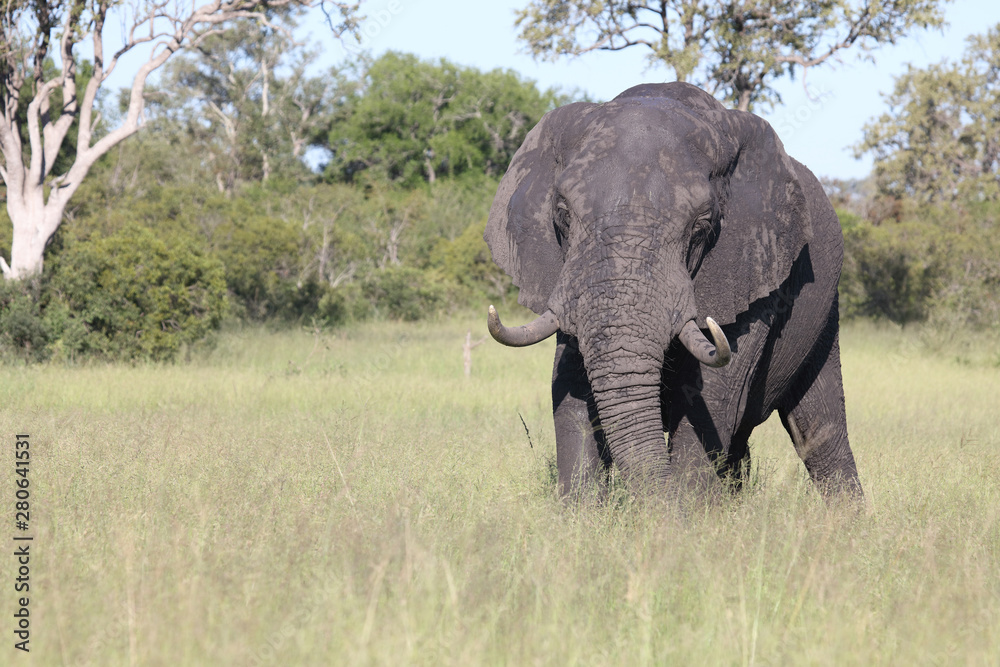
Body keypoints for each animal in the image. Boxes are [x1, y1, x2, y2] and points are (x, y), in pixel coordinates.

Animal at [482, 82, 860, 500]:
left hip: (823, 312)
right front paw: (581, 511)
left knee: (821, 430)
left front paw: (683, 514)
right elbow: (569, 387)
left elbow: (710, 395)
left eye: (702, 226)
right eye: (563, 214)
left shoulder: (757, 270)